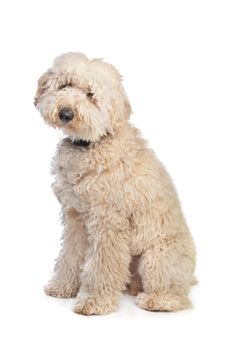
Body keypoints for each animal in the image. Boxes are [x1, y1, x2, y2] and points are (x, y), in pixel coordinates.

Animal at [34, 53, 195, 316]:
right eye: (66, 84)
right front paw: (62, 286)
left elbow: (102, 265)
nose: (66, 113)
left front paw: (94, 302)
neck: (93, 144)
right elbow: (70, 255)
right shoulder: (75, 217)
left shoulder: (108, 222)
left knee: (177, 295)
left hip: (157, 258)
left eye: (90, 94)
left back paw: (157, 300)